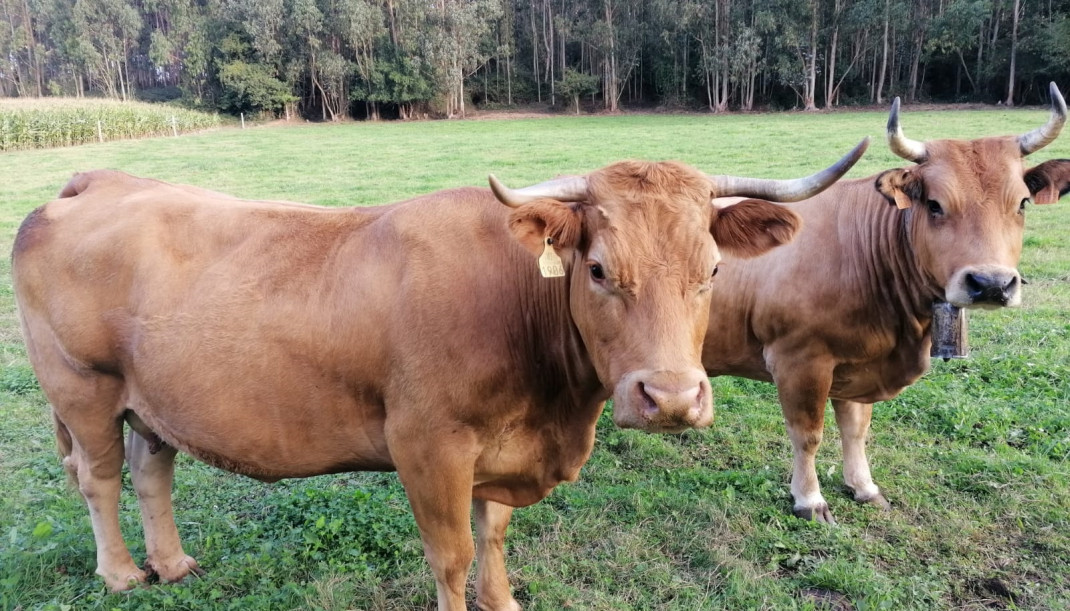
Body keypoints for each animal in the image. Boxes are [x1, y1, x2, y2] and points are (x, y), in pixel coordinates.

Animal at [10, 143, 866, 611]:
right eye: (597, 268)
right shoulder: (429, 443)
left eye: (713, 269)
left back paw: (174, 562)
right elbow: (450, 552)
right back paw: (124, 573)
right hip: (81, 388)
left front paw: (505, 595)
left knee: (151, 467)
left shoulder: (502, 448)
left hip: (152, 398)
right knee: (100, 478)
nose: (673, 398)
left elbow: (495, 532)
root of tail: (99, 179)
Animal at [703, 82, 1070, 524]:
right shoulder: (799, 361)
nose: (991, 283)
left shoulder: (854, 362)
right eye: (934, 204)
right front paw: (810, 499)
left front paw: (863, 487)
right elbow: (808, 434)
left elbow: (856, 428)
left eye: (1022, 203)